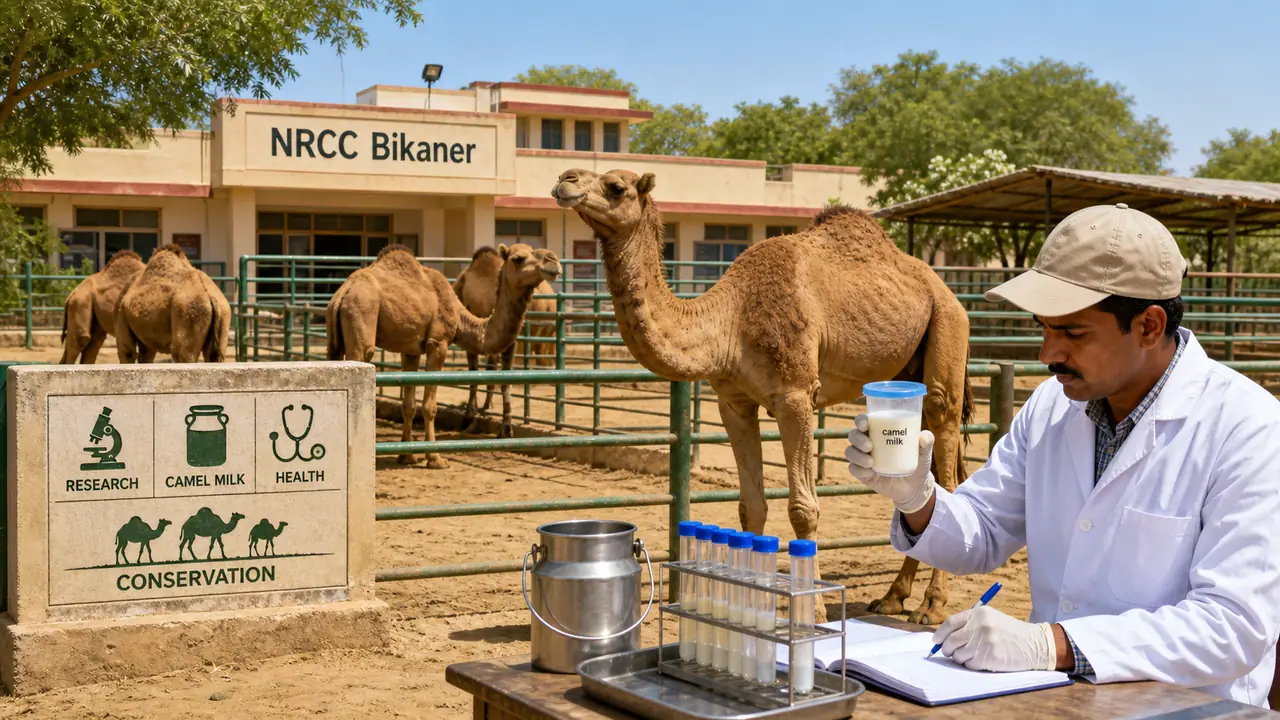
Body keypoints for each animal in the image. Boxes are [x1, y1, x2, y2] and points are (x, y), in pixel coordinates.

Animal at [326, 243, 562, 466]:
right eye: (518, 259)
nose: (553, 260)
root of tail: (341, 294)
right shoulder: (438, 343)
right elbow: (430, 407)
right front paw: (435, 459)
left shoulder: (410, 350)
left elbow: (409, 405)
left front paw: (406, 456)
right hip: (361, 318)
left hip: (334, 340)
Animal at [552, 168, 974, 625]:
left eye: (616, 187)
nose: (565, 179)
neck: (730, 321)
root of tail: (946, 288)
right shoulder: (733, 403)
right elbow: (750, 507)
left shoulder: (795, 395)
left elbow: (803, 509)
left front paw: (815, 610)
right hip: (905, 372)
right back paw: (894, 596)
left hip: (946, 333)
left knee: (945, 449)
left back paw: (931, 607)